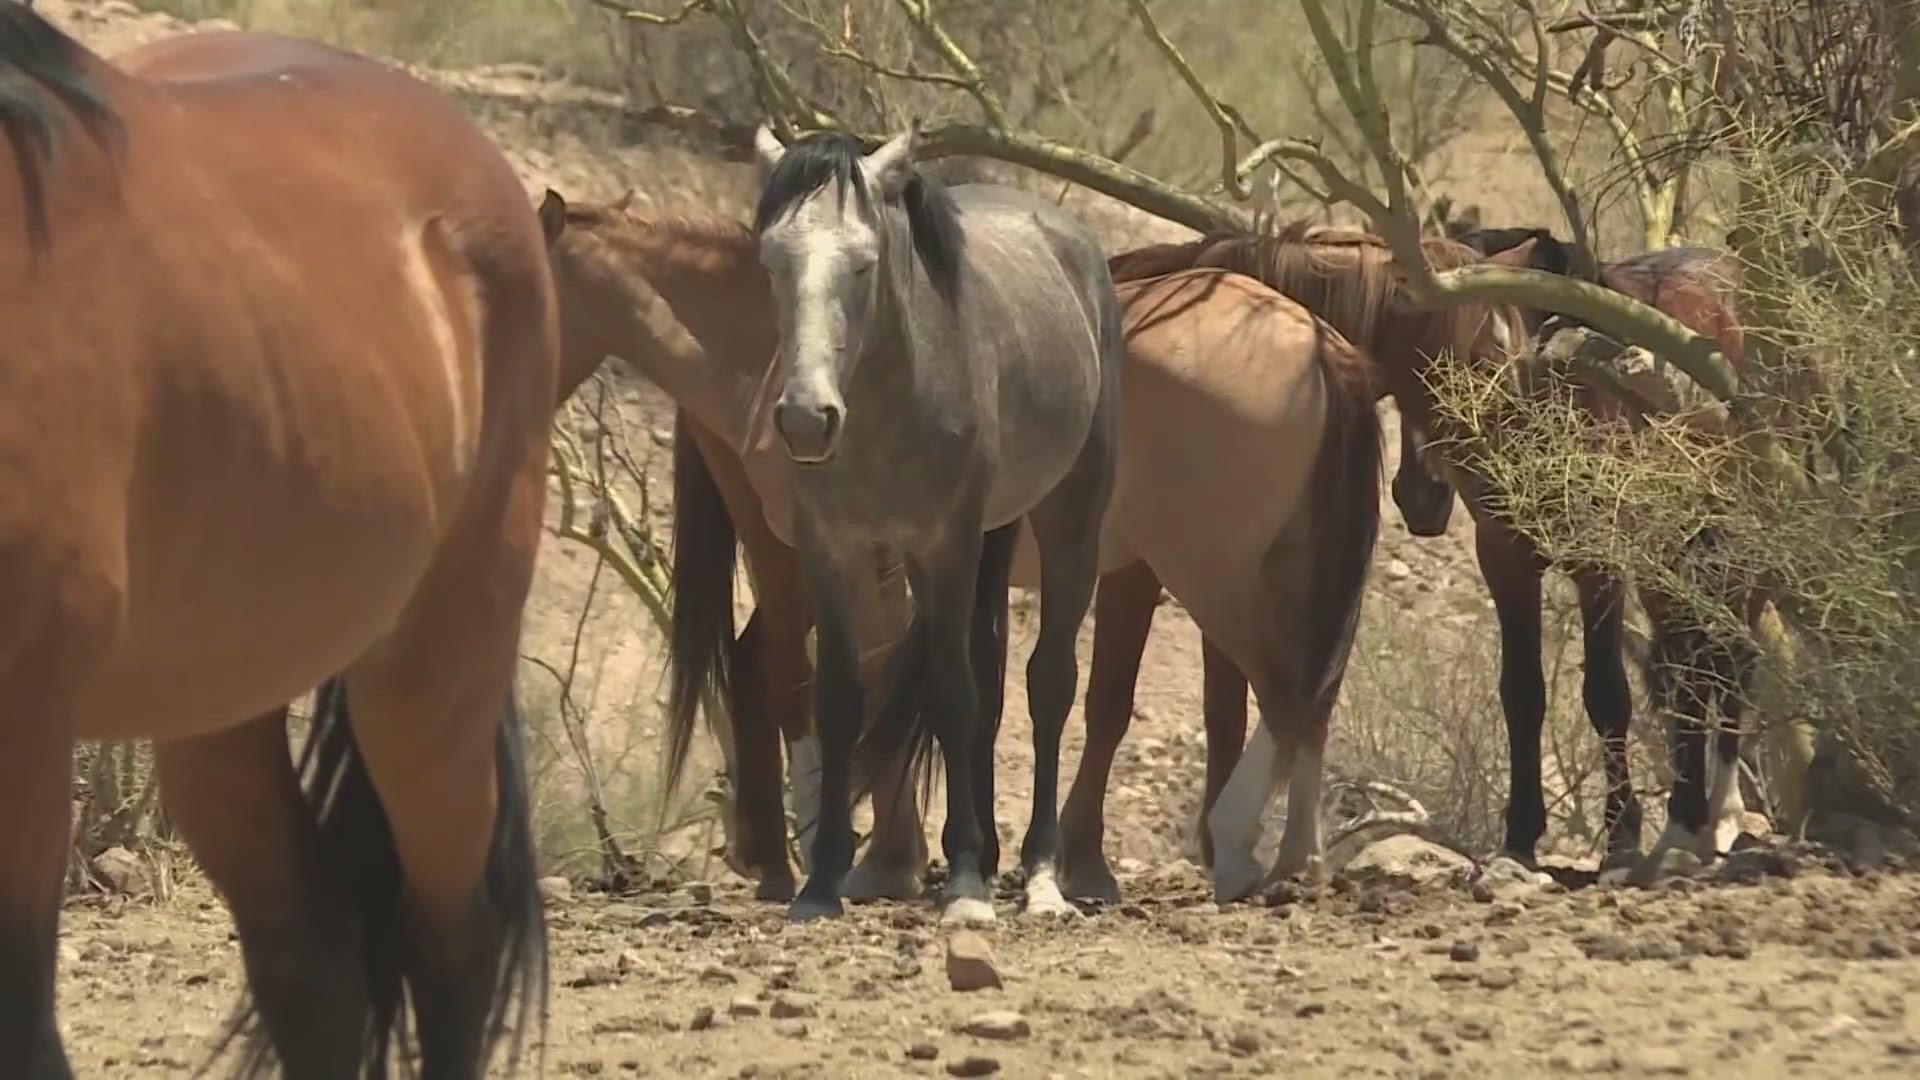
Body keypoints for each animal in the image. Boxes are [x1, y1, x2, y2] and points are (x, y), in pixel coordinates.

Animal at [533, 191, 1390, 899]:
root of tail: (1320, 343)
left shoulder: (881, 555)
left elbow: (895, 678)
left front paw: (893, 858)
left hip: (1214, 571)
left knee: (1291, 687)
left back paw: (1242, 849)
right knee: (1312, 688)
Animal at [741, 122, 1121, 922]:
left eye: (862, 265)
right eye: (772, 260)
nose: (805, 420)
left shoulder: (943, 544)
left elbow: (952, 688)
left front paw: (968, 879)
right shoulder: (833, 547)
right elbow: (841, 695)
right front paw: (822, 881)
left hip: (1071, 520)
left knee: (1047, 682)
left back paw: (1040, 874)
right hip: (994, 535)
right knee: (995, 674)